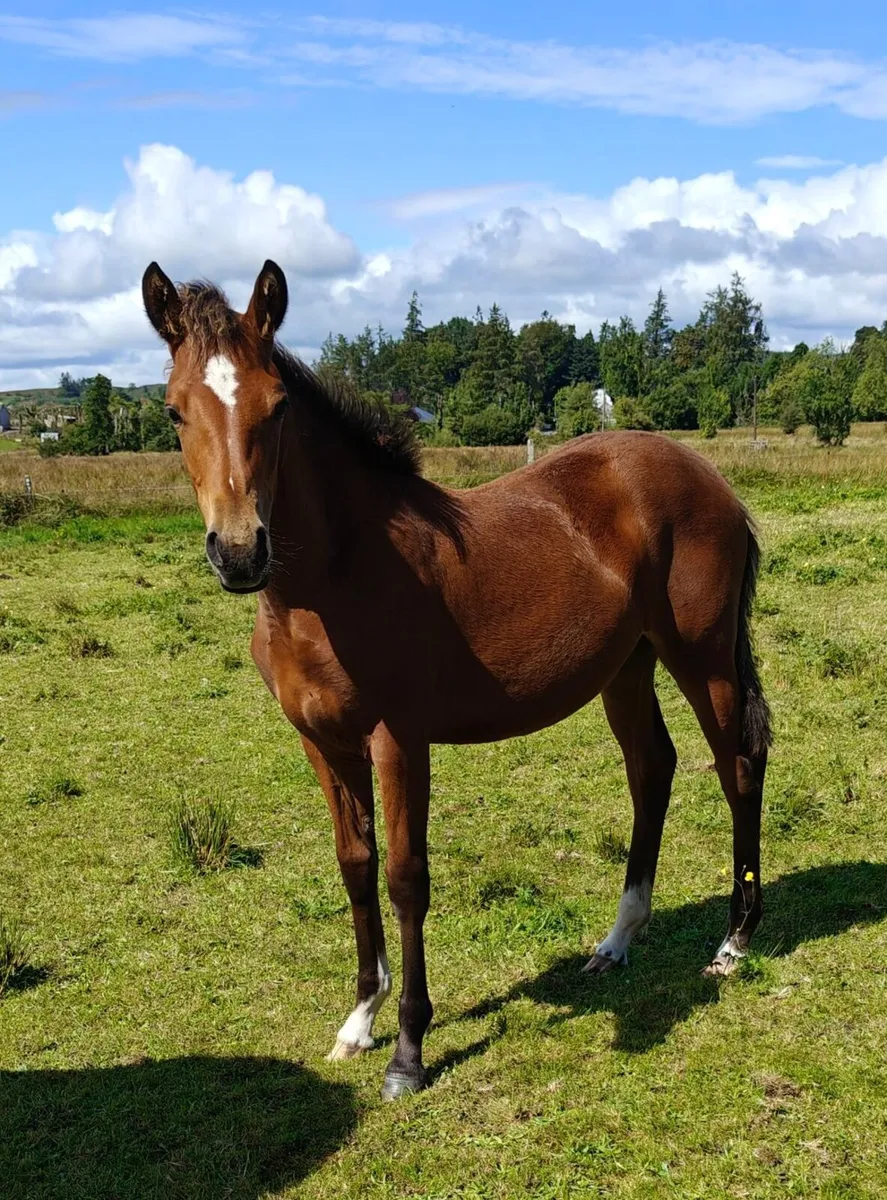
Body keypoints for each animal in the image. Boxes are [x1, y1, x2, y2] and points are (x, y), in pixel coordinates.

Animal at [142, 259, 771, 1100]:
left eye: (276, 407)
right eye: (174, 412)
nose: (240, 551)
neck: (332, 581)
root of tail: (710, 478)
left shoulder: (398, 739)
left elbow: (407, 876)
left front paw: (408, 1051)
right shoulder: (321, 744)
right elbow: (355, 866)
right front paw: (359, 1020)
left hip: (700, 656)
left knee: (737, 766)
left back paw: (732, 943)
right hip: (626, 666)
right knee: (652, 770)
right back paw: (617, 939)